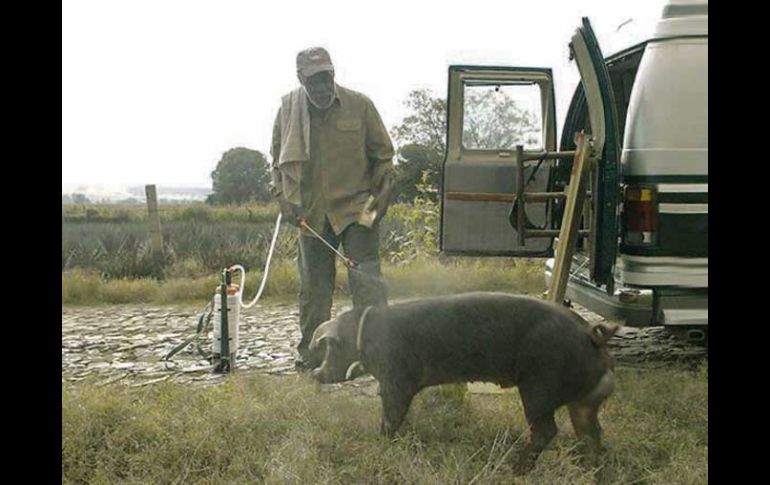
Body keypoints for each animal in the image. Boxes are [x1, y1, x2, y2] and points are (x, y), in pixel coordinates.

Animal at [308, 292, 616, 472]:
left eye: (328, 346)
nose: (314, 374)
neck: (365, 333)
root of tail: (592, 334)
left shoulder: (397, 378)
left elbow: (391, 415)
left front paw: (379, 439)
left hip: (538, 387)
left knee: (547, 430)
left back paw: (515, 469)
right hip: (584, 400)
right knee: (592, 432)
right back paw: (587, 469)